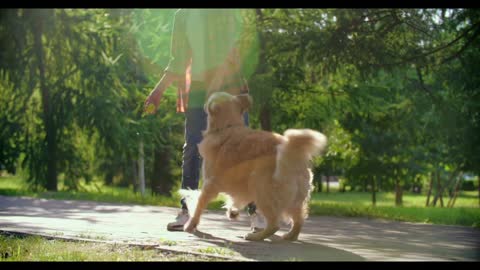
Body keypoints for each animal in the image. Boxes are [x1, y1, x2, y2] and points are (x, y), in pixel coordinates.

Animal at [183, 92, 326, 240]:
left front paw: (190, 225)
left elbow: (199, 205)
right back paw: (290, 235)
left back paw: (255, 236)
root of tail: (292, 156)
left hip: (261, 189)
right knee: (298, 220)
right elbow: (235, 198)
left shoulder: (210, 184)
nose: (203, 102)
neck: (229, 126)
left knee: (274, 224)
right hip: (294, 199)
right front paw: (232, 211)